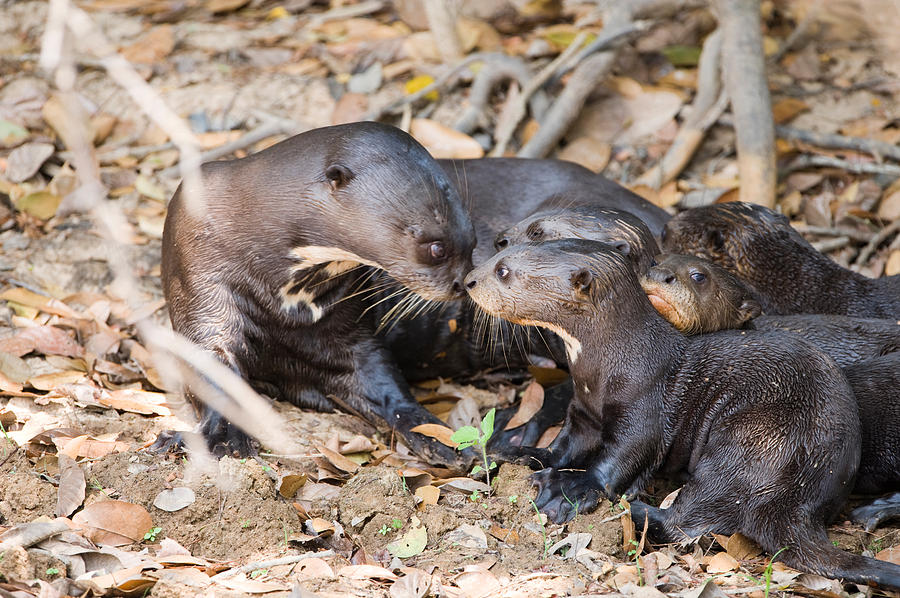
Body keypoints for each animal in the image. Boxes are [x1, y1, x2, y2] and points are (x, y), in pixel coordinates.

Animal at [160, 122, 478, 462]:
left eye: (472, 240)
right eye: (436, 248)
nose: (464, 283)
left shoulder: (350, 336)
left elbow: (383, 382)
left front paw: (441, 437)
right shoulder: (200, 276)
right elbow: (211, 365)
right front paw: (223, 436)